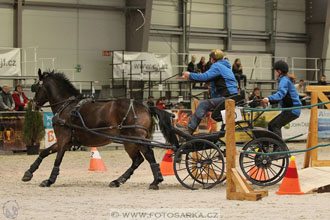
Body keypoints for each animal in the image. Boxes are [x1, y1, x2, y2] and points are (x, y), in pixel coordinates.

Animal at [21, 70, 178, 189]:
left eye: (36, 88)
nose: (33, 104)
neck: (66, 106)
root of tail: (146, 107)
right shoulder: (66, 141)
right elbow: (44, 153)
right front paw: (28, 173)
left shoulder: (64, 139)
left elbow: (57, 159)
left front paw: (49, 180)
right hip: (129, 142)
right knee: (137, 160)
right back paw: (118, 180)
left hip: (136, 138)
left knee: (148, 155)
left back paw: (156, 181)